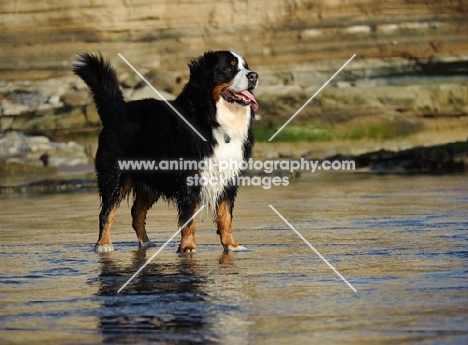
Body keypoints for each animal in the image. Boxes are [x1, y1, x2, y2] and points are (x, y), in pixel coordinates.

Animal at [72, 49, 260, 251]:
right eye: (229, 68)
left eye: (246, 66)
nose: (254, 75)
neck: (214, 119)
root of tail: (117, 108)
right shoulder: (189, 179)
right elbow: (189, 218)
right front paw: (188, 247)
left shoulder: (229, 179)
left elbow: (226, 216)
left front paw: (231, 245)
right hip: (114, 176)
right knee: (107, 211)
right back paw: (104, 244)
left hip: (150, 182)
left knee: (136, 212)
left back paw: (145, 242)